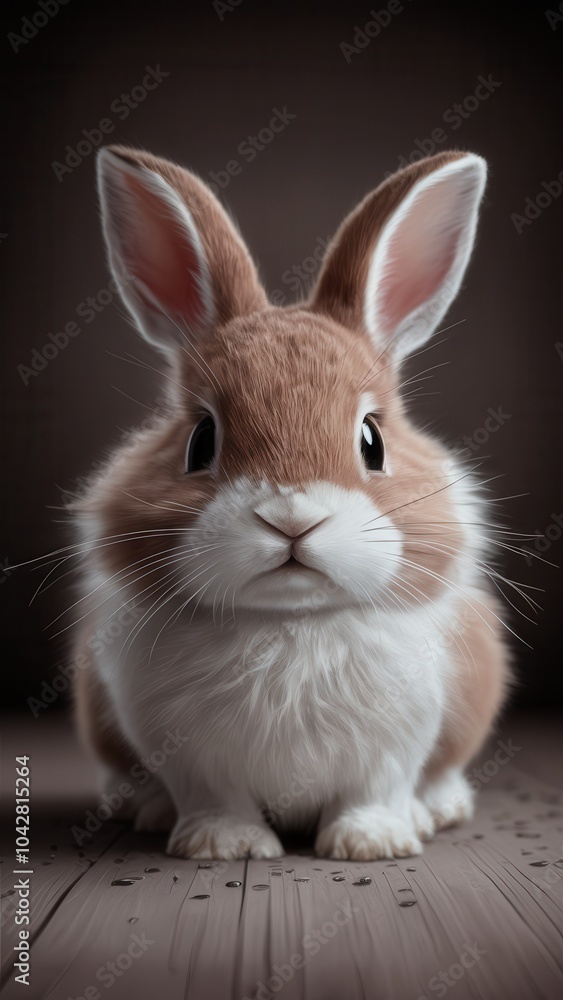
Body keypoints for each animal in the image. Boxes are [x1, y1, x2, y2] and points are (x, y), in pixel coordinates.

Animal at [72, 144, 509, 861]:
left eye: (372, 441)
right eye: (200, 440)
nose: (293, 519)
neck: (290, 621)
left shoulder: (397, 741)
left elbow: (377, 789)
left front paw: (371, 843)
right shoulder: (185, 751)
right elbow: (214, 797)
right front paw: (226, 846)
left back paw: (437, 809)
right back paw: (148, 811)